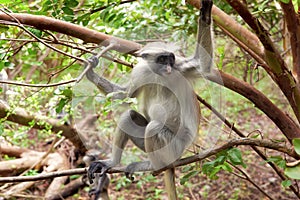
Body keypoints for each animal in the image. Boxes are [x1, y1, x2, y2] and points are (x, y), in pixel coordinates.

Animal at [85, 0, 214, 199]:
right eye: (162, 59)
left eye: (170, 60)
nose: (168, 68)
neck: (160, 75)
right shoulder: (142, 72)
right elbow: (124, 95)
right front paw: (90, 72)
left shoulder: (180, 68)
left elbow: (202, 64)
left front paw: (206, 13)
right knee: (129, 116)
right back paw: (112, 162)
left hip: (174, 148)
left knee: (154, 127)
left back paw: (153, 165)